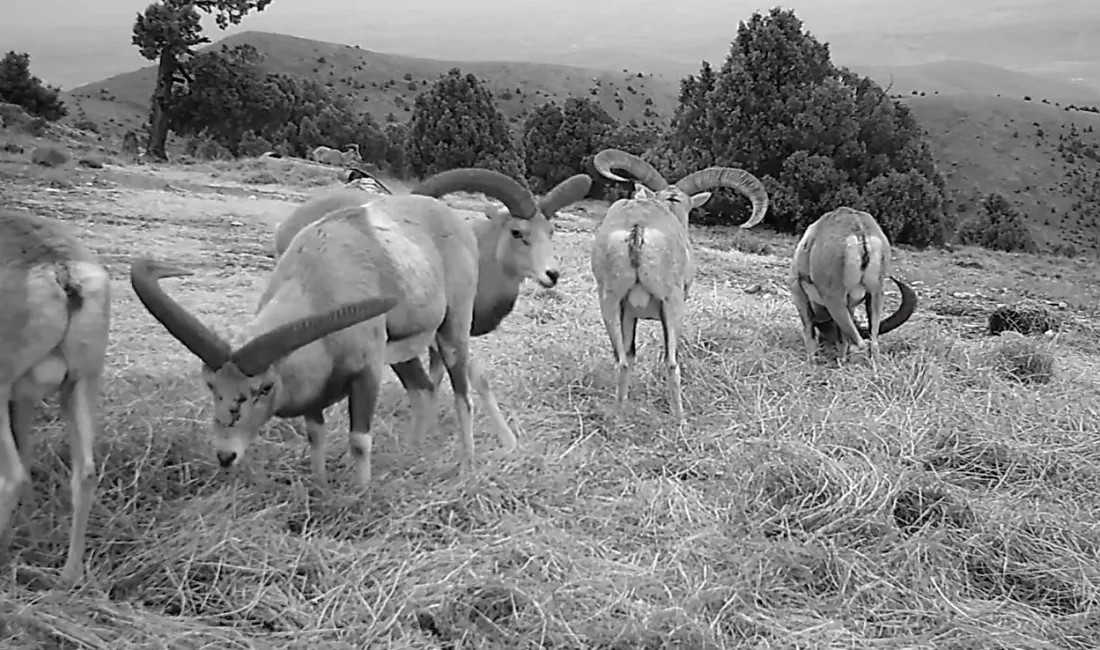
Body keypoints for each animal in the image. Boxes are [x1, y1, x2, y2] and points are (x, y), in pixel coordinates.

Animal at [0, 211, 110, 589]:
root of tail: (62, 271)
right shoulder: (22, 402)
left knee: (13, 476)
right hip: (79, 388)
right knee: (85, 474)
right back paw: (68, 575)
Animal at [132, 168, 554, 488]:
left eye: (264, 388)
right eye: (210, 385)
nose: (225, 454)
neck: (316, 279)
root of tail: (449, 217)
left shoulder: (366, 374)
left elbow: (359, 441)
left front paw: (361, 493)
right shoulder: (315, 390)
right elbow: (315, 434)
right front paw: (319, 487)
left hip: (452, 331)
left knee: (461, 392)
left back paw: (467, 462)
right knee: (423, 390)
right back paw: (413, 452)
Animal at [594, 148, 765, 422]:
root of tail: (637, 228)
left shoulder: (628, 313)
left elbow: (629, 355)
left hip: (609, 299)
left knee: (621, 359)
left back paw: (618, 417)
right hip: (672, 304)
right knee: (671, 362)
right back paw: (680, 419)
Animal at [792, 206, 919, 362]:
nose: (825, 345)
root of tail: (860, 232)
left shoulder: (798, 293)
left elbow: (809, 331)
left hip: (835, 300)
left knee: (858, 344)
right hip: (875, 293)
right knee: (873, 344)